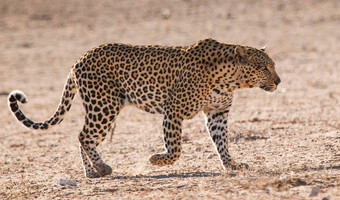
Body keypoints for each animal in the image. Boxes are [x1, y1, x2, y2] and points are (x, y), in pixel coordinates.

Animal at [7, 38, 280, 177]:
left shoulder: (217, 113)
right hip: (104, 105)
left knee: (82, 136)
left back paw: (91, 172)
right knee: (84, 135)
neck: (230, 79)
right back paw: (101, 167)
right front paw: (157, 160)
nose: (278, 81)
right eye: (264, 67)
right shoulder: (174, 110)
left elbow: (222, 142)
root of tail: (79, 58)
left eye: (273, 65)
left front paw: (231, 165)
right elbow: (175, 148)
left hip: (100, 106)